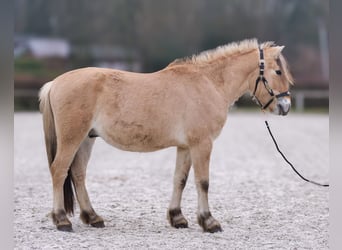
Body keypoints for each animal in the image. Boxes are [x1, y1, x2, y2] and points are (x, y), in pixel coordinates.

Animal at [38, 38, 292, 232]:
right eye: (278, 71)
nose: (285, 106)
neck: (209, 83)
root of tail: (55, 82)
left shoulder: (186, 146)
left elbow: (180, 179)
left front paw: (177, 217)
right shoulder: (202, 144)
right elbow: (203, 182)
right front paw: (209, 221)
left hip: (85, 139)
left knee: (78, 173)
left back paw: (92, 217)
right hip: (72, 138)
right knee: (59, 170)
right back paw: (61, 220)